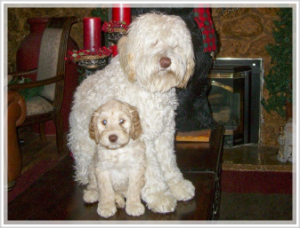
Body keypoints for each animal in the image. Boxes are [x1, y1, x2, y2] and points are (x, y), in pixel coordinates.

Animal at [67, 12, 195, 213]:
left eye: (174, 45)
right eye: (153, 43)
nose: (165, 62)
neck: (149, 88)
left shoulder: (164, 134)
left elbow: (168, 162)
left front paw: (177, 186)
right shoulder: (143, 140)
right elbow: (153, 170)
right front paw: (159, 196)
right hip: (86, 149)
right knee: (87, 174)